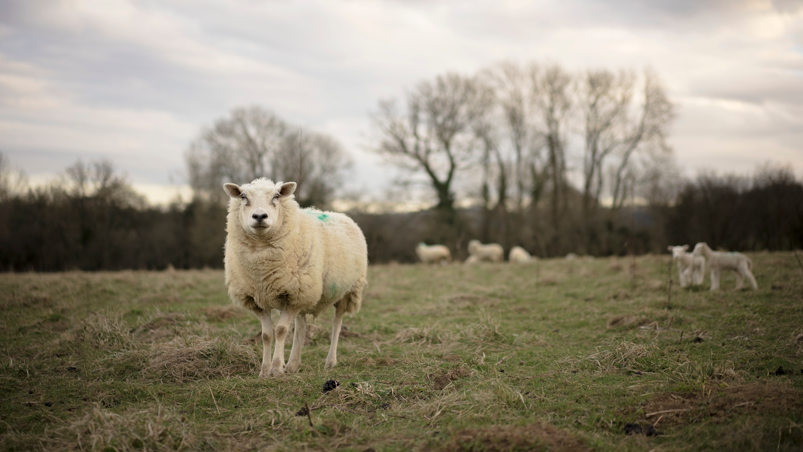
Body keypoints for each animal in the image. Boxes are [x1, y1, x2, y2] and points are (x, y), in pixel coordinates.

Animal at [223, 178, 368, 377]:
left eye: (276, 196)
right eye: (244, 197)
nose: (259, 216)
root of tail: (341, 215)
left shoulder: (292, 295)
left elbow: (281, 330)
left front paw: (276, 368)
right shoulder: (257, 299)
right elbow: (266, 335)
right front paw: (264, 371)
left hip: (345, 291)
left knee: (336, 323)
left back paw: (330, 361)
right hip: (304, 293)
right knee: (301, 326)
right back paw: (293, 364)